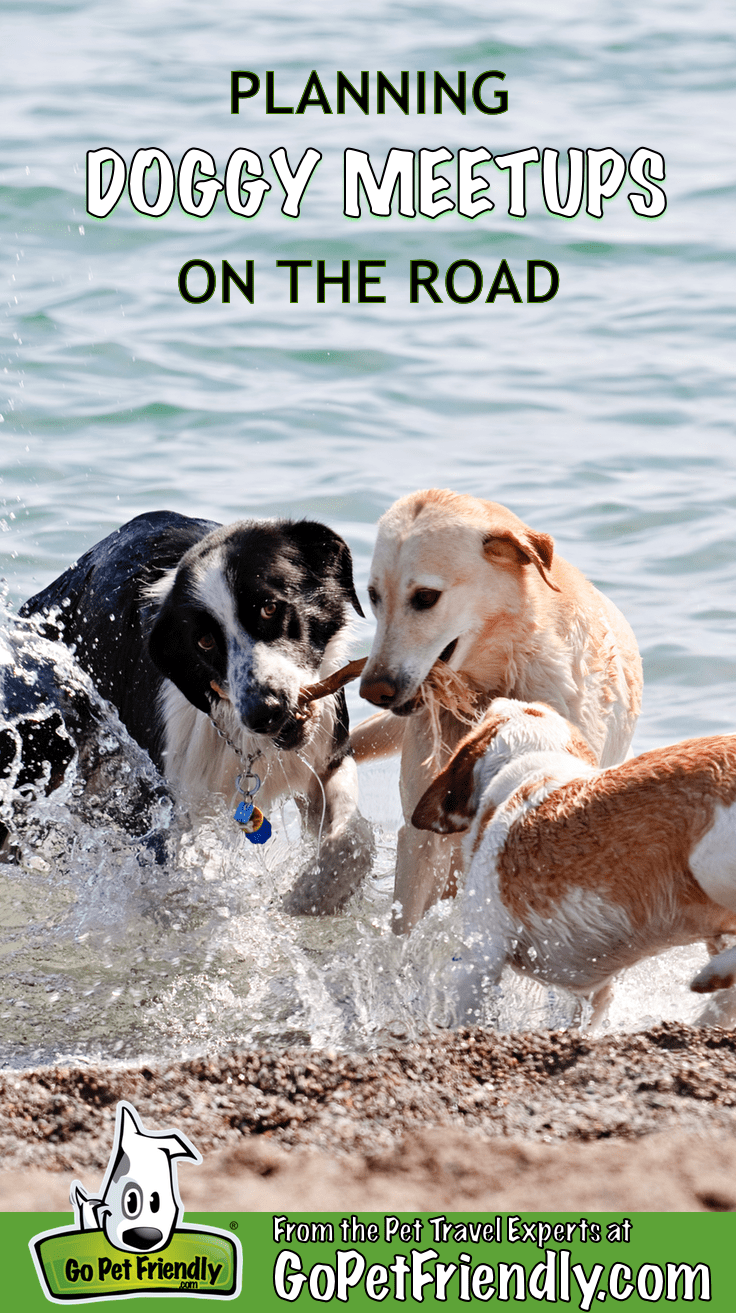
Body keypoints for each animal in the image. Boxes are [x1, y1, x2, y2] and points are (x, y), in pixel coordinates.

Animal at [22, 512, 372, 913]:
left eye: (270, 608)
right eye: (204, 642)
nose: (264, 713)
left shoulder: (327, 754)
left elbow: (354, 839)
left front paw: (310, 896)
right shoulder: (162, 801)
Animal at [409, 698, 734, 1024]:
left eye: (490, 715)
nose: (500, 699)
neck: (534, 768)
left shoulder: (480, 958)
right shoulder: (596, 992)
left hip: (707, 866)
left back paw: (713, 975)